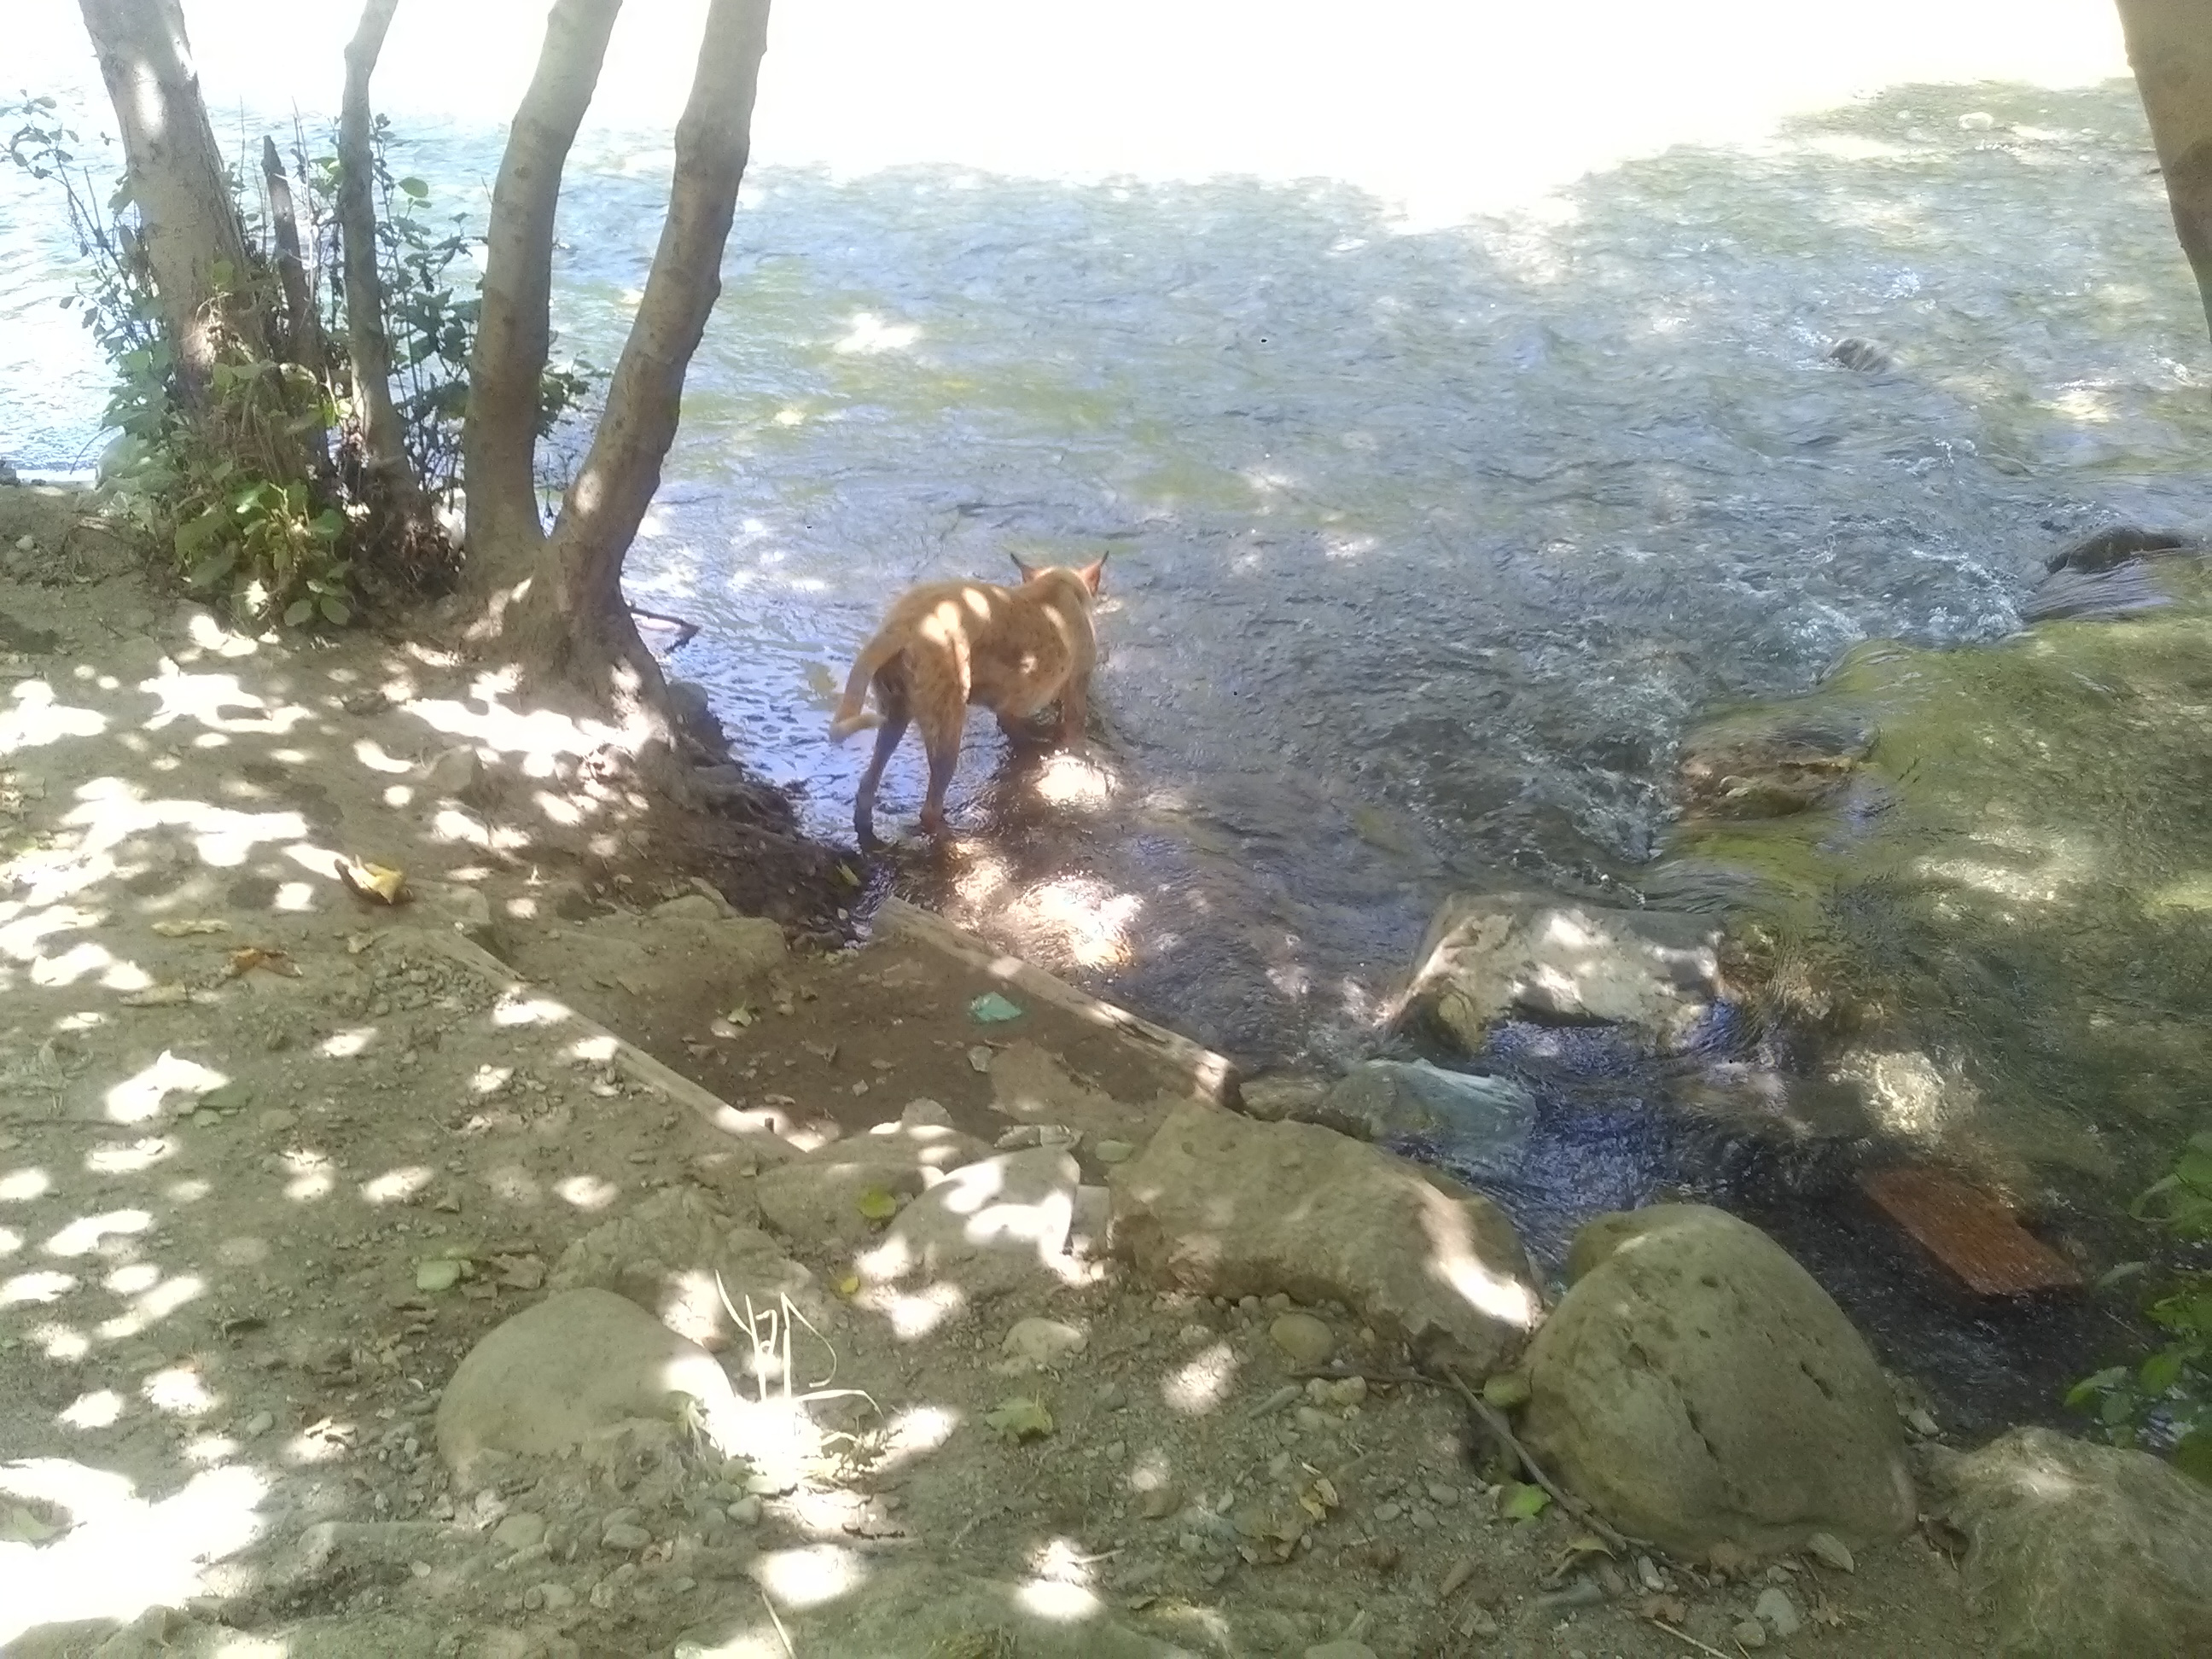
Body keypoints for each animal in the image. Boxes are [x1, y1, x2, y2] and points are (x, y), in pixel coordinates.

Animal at [831, 555, 1106, 845]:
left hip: (894, 718)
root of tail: (903, 626)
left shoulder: (1009, 709)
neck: (1058, 586)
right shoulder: (1075, 701)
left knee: (866, 787)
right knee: (930, 808)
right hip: (947, 731)